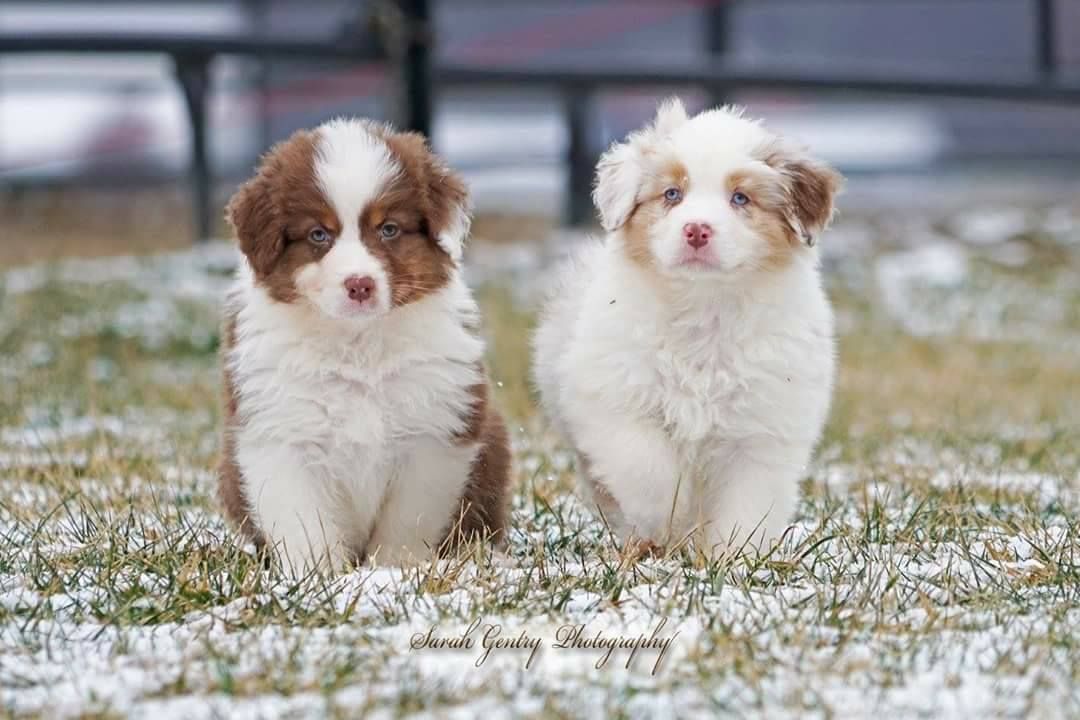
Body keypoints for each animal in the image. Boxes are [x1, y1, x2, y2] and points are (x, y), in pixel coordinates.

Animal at [218, 117, 509, 574]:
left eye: (388, 229)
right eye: (318, 234)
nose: (359, 284)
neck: (357, 344)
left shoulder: (433, 435)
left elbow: (406, 522)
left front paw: (393, 571)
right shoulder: (281, 434)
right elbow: (303, 522)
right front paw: (315, 576)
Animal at [535, 98, 838, 557]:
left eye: (740, 197)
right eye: (672, 194)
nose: (696, 229)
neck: (703, 309)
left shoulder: (762, 429)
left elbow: (746, 505)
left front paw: (732, 558)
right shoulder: (614, 398)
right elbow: (645, 466)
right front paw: (664, 516)